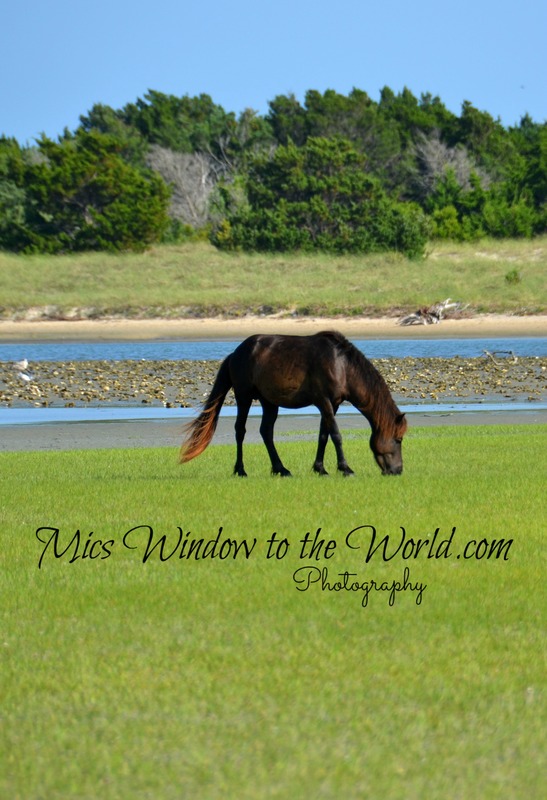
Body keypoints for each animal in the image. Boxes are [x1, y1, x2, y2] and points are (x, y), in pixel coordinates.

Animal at [180, 331, 407, 477]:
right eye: (398, 439)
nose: (397, 470)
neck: (341, 365)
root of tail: (236, 353)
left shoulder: (333, 404)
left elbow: (323, 435)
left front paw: (320, 468)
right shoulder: (323, 401)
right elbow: (336, 435)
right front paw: (345, 468)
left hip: (269, 402)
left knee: (266, 432)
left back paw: (281, 469)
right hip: (243, 397)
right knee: (240, 430)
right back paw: (241, 470)